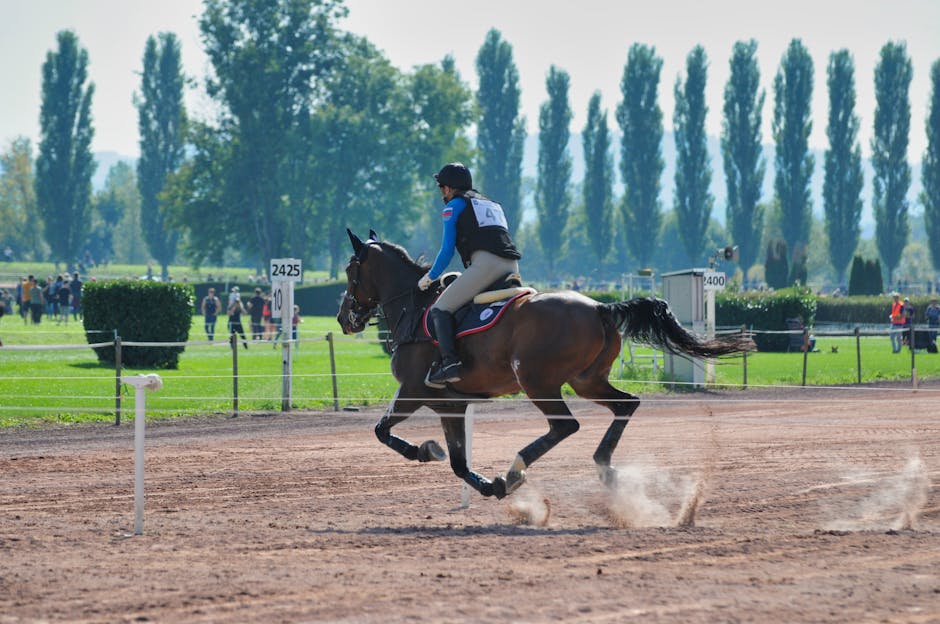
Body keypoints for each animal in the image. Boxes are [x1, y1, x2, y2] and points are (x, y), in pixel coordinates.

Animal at [337, 229, 755, 500]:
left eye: (350, 271)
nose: (344, 319)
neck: (413, 306)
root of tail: (600, 307)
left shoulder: (413, 390)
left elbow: (382, 431)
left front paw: (425, 452)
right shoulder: (451, 404)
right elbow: (456, 461)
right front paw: (478, 480)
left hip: (537, 381)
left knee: (565, 425)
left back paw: (515, 469)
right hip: (586, 381)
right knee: (626, 404)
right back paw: (603, 465)